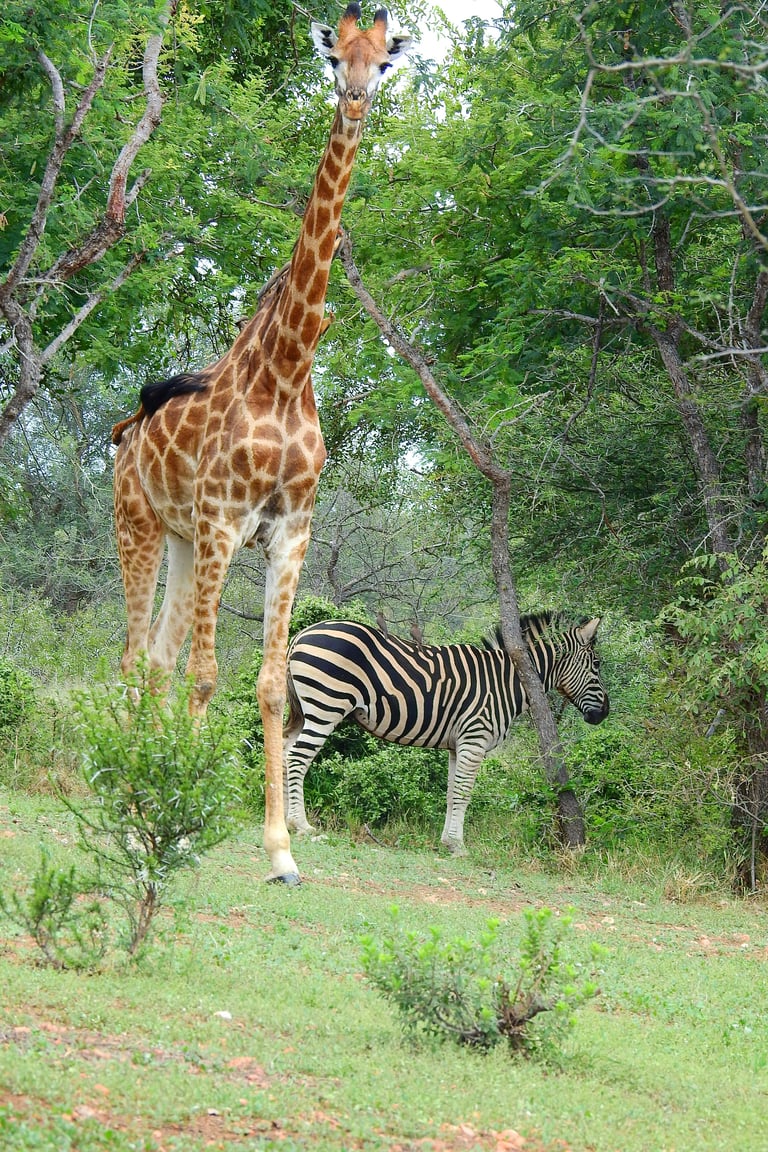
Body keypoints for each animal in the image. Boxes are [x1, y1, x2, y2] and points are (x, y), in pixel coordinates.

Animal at [111, 4, 412, 884]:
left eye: (384, 62)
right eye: (334, 58)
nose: (355, 99)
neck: (286, 368)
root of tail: (123, 437)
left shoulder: (289, 532)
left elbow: (273, 685)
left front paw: (280, 850)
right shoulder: (224, 521)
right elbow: (210, 675)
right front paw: (179, 825)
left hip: (180, 542)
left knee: (155, 659)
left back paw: (141, 798)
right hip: (141, 528)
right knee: (137, 658)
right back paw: (131, 806)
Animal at [282, 613, 609, 855]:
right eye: (596, 664)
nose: (604, 713)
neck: (506, 680)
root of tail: (301, 634)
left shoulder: (458, 744)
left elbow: (453, 793)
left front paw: (447, 841)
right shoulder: (475, 739)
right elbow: (464, 793)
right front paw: (458, 845)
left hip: (303, 711)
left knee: (284, 754)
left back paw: (282, 820)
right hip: (326, 707)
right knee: (298, 758)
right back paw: (300, 824)